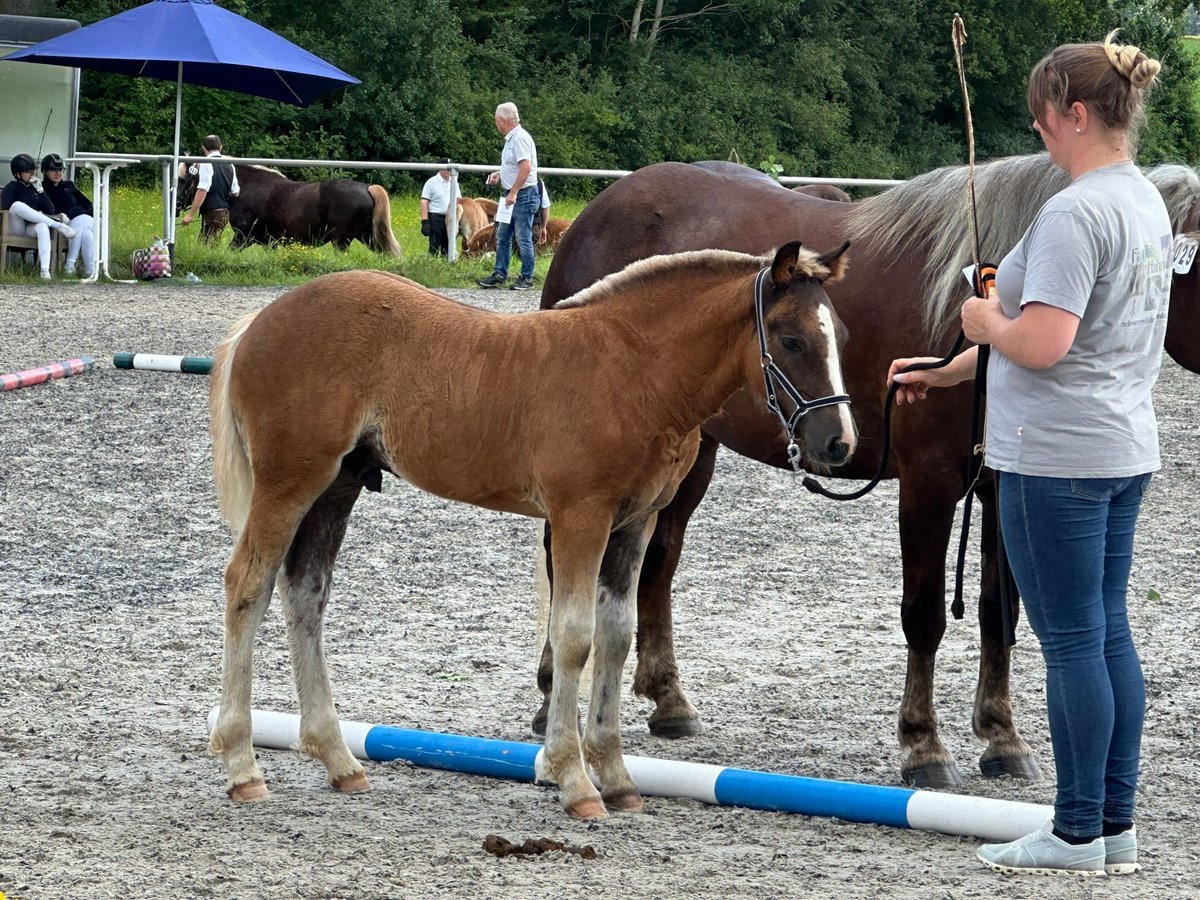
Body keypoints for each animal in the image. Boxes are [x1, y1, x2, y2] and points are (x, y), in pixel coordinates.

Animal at [176, 164, 403, 255]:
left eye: (183, 179)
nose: (177, 205)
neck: (244, 190)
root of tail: (367, 188)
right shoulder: (269, 242)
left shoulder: (243, 236)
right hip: (369, 237)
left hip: (342, 241)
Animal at [211, 243, 859, 820]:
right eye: (791, 339)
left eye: (841, 335)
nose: (839, 442)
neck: (638, 371)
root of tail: (260, 320)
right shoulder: (580, 516)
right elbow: (574, 636)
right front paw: (575, 781)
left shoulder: (635, 523)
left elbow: (616, 636)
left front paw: (617, 777)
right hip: (291, 482)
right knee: (247, 584)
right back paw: (243, 766)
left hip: (337, 488)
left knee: (304, 594)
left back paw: (339, 760)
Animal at [540, 154, 1200, 787]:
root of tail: (600, 209)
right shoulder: (928, 485)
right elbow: (925, 614)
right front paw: (923, 745)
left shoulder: (1006, 489)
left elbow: (998, 613)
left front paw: (1002, 737)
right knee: (564, 562)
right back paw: (552, 697)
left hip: (690, 452)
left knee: (659, 560)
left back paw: (669, 702)